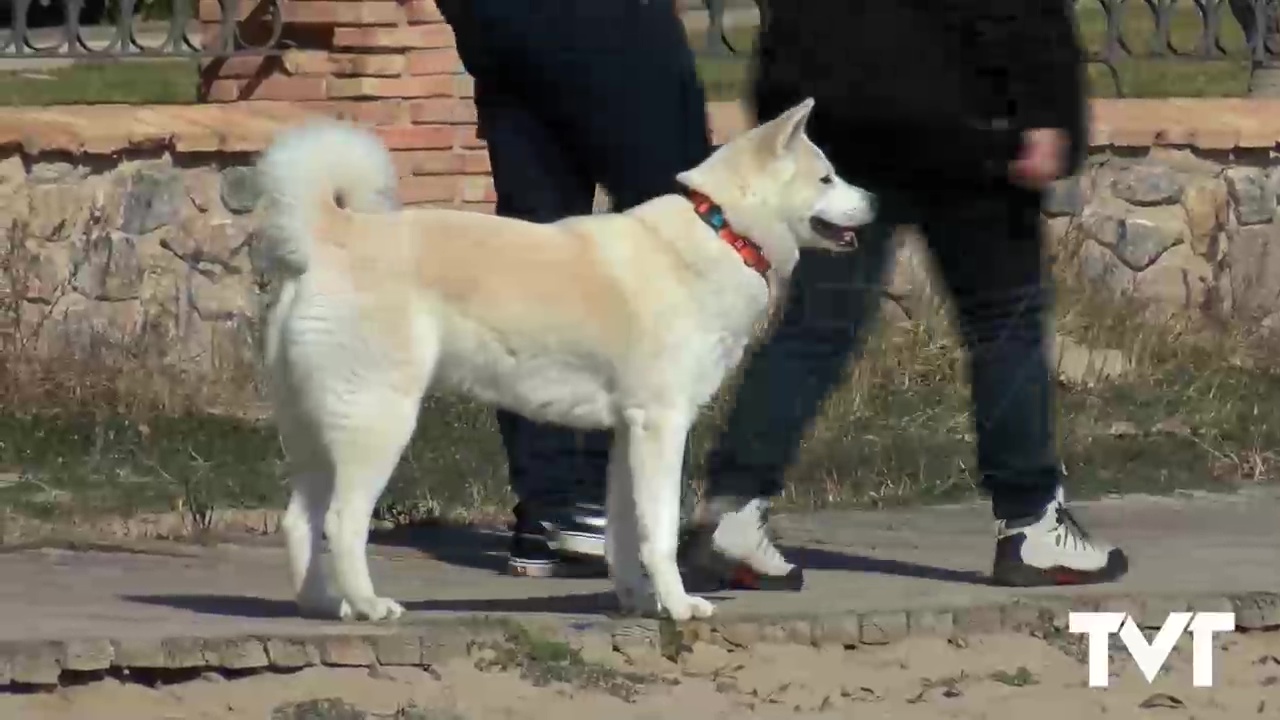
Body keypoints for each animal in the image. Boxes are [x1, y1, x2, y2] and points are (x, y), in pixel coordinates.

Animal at [257, 98, 880, 620]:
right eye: (827, 177)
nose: (877, 200)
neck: (721, 229)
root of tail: (335, 236)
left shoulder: (629, 434)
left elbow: (628, 533)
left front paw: (636, 600)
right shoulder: (661, 427)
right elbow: (661, 532)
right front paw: (679, 606)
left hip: (319, 428)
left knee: (299, 520)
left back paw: (321, 605)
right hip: (378, 423)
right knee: (341, 523)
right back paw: (369, 605)